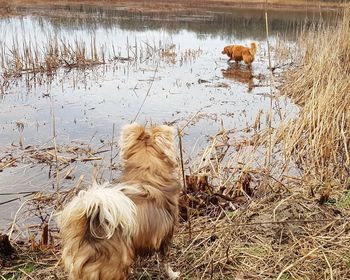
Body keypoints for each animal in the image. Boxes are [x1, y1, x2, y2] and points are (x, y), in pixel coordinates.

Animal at [57, 123, 180, 280]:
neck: (145, 176)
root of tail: (89, 236)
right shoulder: (167, 235)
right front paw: (173, 274)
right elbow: (166, 260)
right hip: (115, 268)